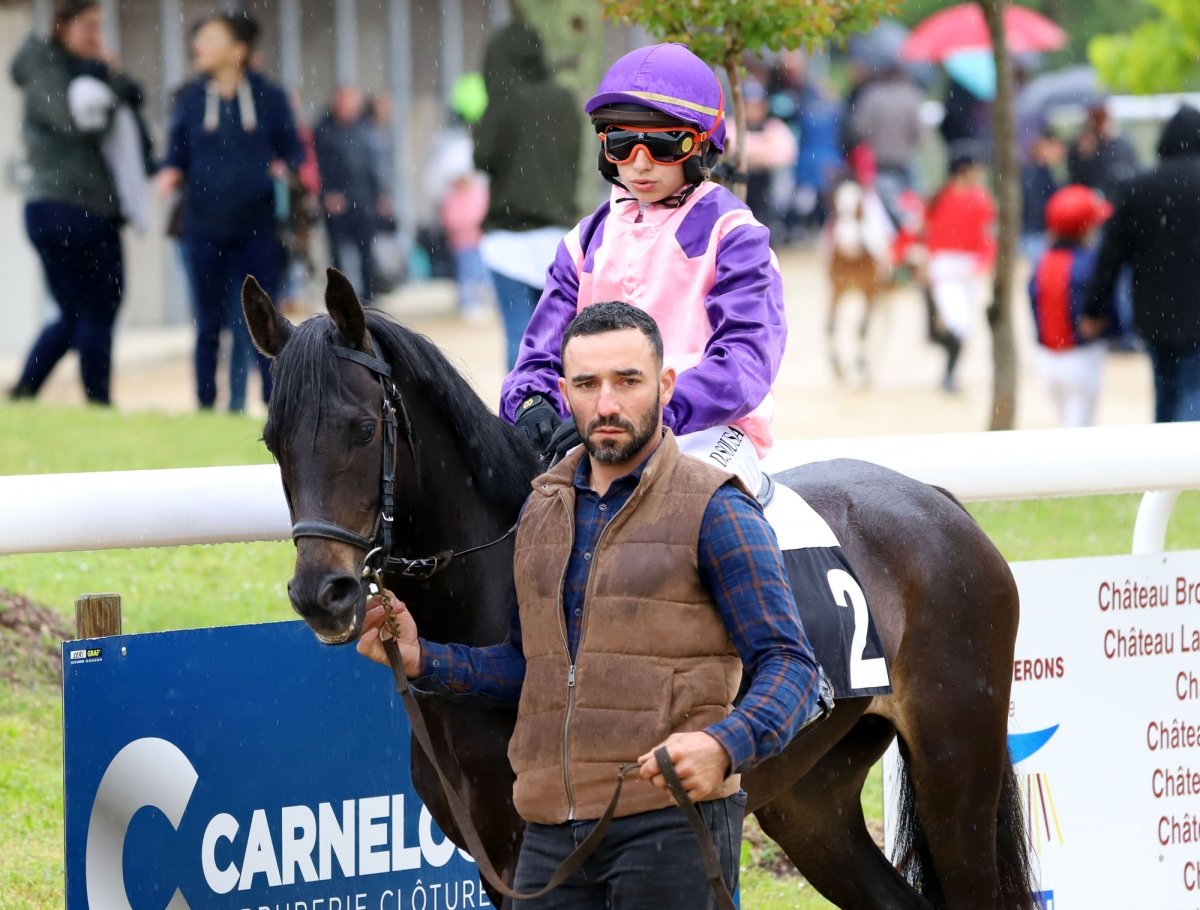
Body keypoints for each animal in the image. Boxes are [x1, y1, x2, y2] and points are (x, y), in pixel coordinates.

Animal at [242, 268, 1035, 909]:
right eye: (273, 440)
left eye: (360, 427)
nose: (322, 594)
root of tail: (939, 501)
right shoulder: (504, 865)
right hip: (813, 801)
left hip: (956, 770)